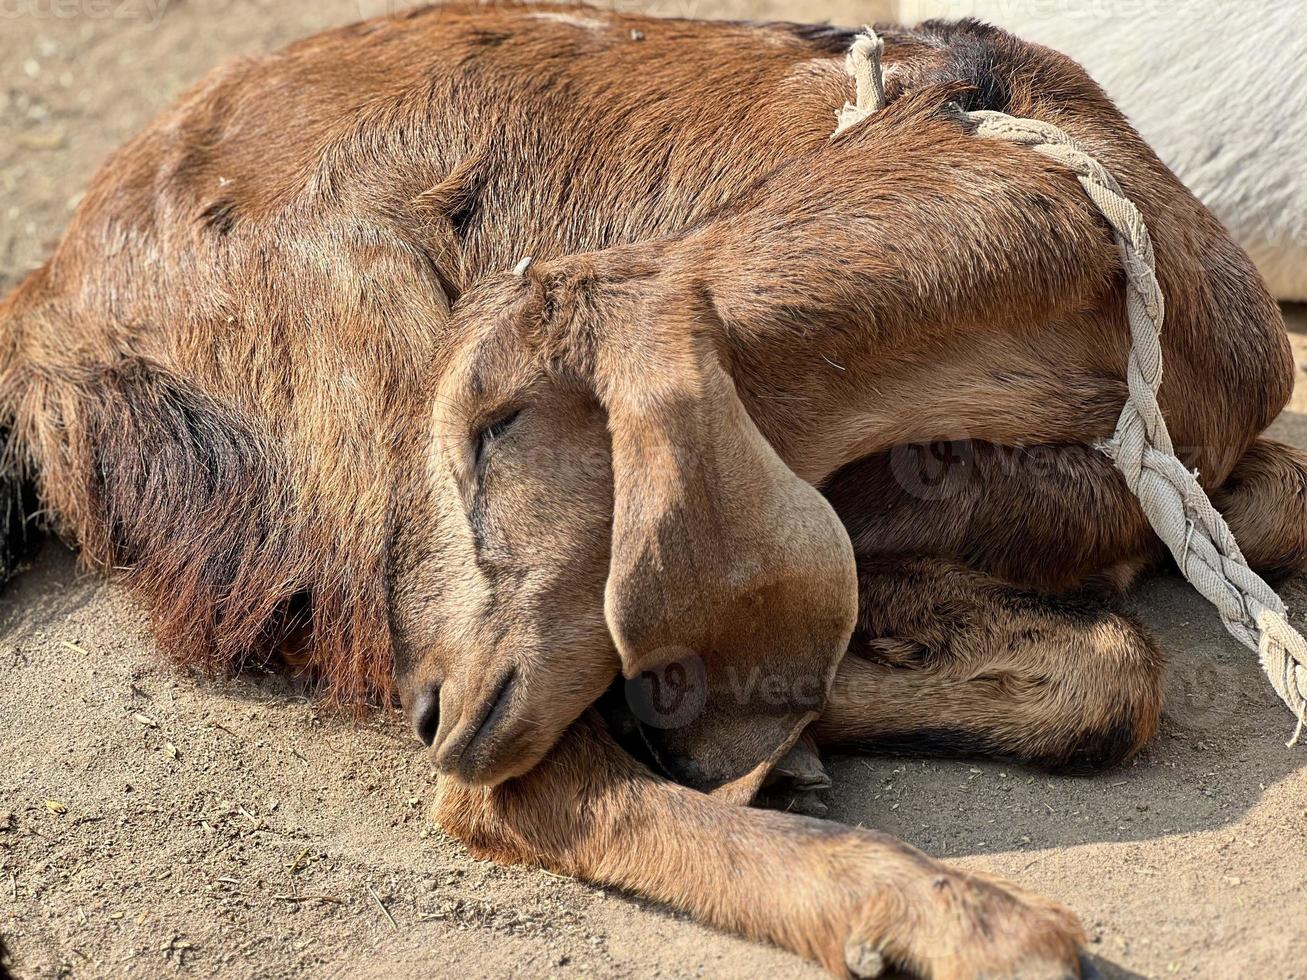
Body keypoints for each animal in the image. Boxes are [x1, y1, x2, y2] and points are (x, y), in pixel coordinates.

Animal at [2, 3, 1307, 977]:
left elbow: (1180, 588)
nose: (425, 704)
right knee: (503, 796)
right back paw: (960, 918)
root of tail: (48, 292)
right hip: (361, 334)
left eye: (492, 428)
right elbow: (1111, 658)